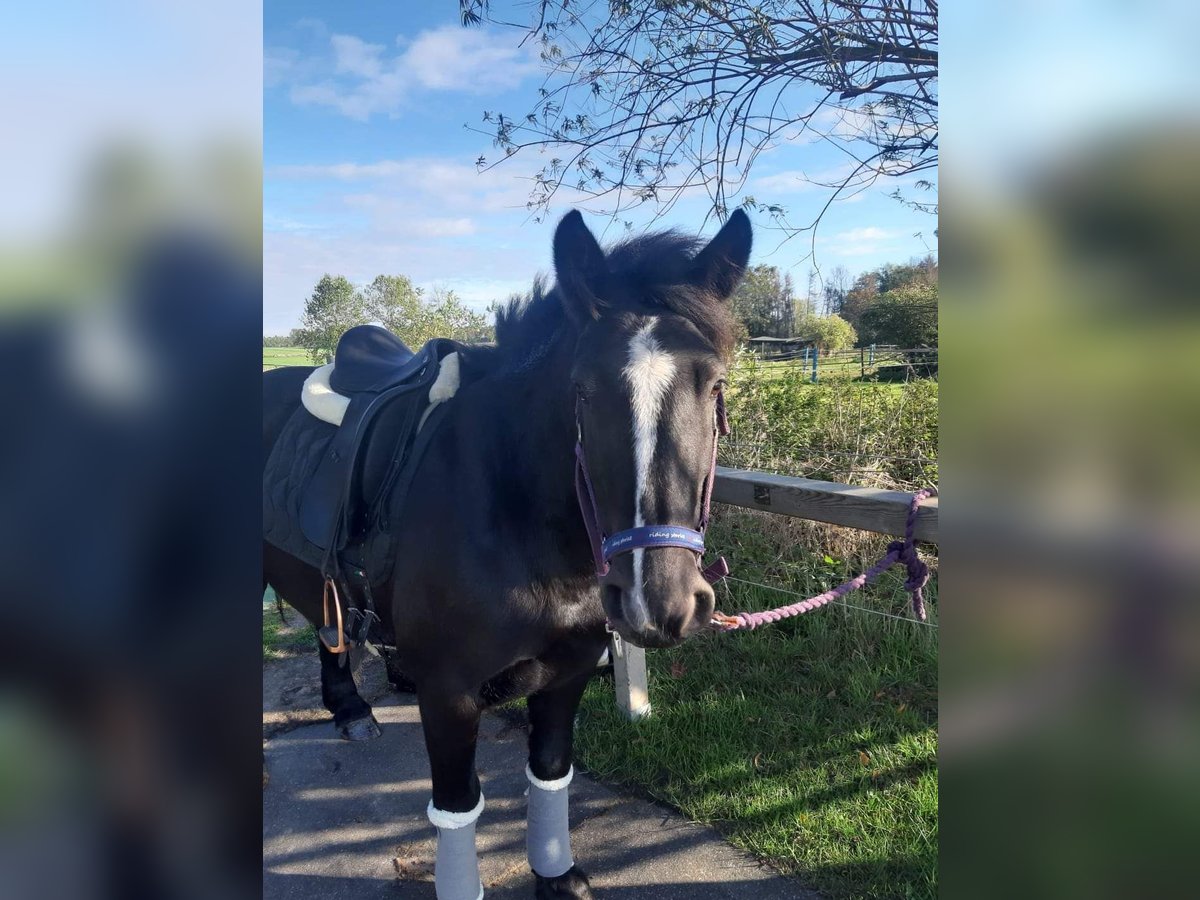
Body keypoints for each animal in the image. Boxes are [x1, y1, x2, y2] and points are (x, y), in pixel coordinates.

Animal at [262, 207, 748, 897]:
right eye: (582, 389)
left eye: (715, 384)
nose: (659, 602)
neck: (515, 513)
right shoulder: (449, 693)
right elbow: (458, 806)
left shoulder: (569, 671)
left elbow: (549, 771)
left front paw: (557, 874)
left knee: (327, 630)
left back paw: (349, 706)